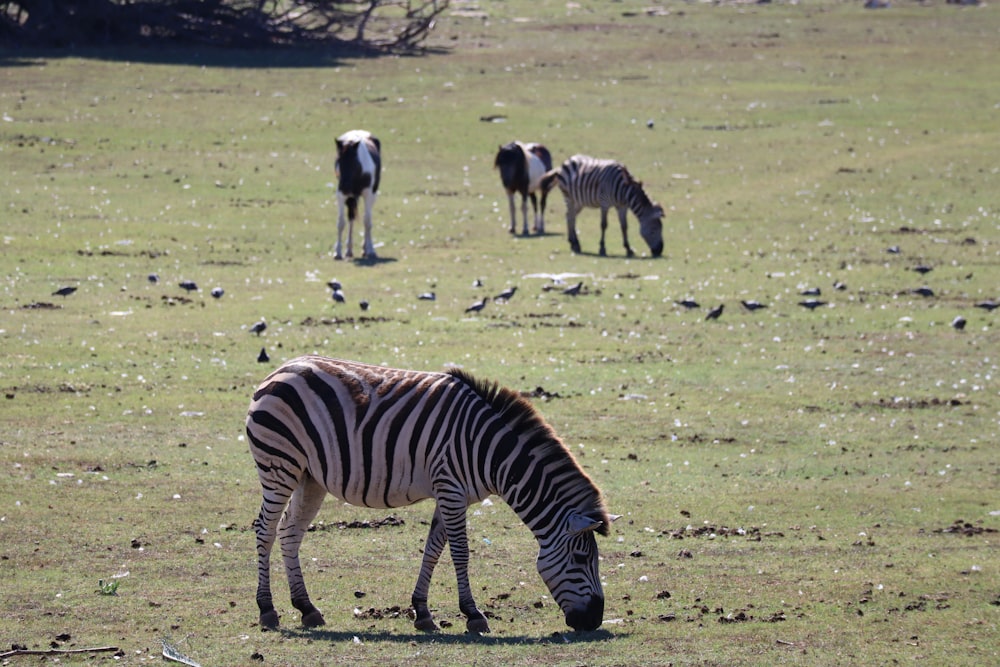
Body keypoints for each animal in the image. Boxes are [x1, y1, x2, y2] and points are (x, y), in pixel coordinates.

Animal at [246, 358, 612, 636]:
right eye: (582, 559)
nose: (594, 621)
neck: (491, 451)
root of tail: (280, 369)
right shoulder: (450, 488)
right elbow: (460, 553)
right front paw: (474, 615)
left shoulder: (450, 492)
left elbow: (433, 550)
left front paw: (422, 613)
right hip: (279, 465)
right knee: (265, 530)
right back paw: (267, 610)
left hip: (310, 477)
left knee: (290, 533)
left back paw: (307, 608)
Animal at [336, 129, 382, 260]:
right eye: (338, 161)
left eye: (355, 162)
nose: (344, 187)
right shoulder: (341, 196)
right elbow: (341, 222)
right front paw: (338, 252)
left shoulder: (368, 194)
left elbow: (367, 222)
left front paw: (370, 250)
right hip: (351, 198)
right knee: (351, 216)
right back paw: (349, 250)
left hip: (372, 195)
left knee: (367, 218)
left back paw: (365, 249)